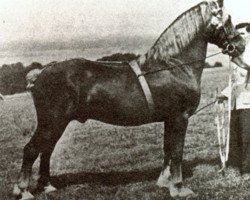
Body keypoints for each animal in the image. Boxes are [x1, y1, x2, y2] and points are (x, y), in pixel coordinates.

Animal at [14, 0, 249, 199]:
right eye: (228, 20)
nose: (240, 45)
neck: (174, 65)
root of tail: (41, 73)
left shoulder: (169, 119)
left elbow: (167, 149)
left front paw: (164, 182)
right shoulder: (180, 117)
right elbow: (177, 152)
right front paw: (179, 188)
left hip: (56, 123)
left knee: (46, 150)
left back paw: (47, 186)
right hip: (52, 121)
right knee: (31, 149)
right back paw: (23, 191)